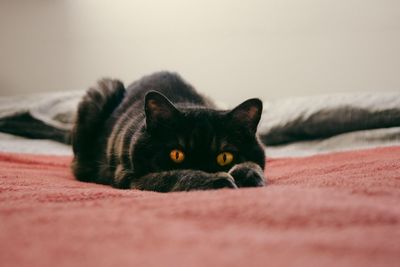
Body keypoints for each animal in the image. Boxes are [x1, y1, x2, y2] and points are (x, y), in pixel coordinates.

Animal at [72, 72, 266, 192]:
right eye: (176, 155)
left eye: (225, 157)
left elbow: (254, 163)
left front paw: (248, 174)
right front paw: (218, 180)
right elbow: (174, 176)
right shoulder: (130, 177)